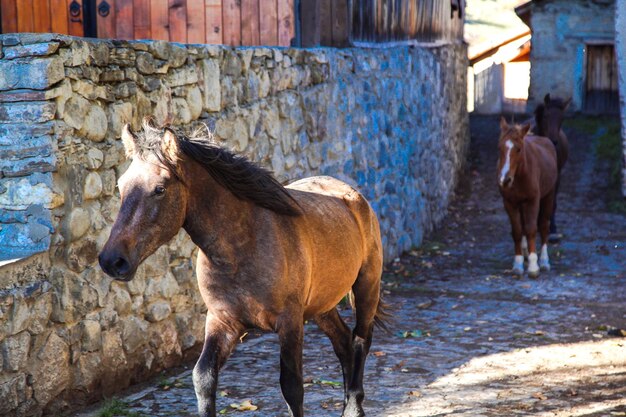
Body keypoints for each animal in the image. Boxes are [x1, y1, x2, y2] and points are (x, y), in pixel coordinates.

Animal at [99, 120, 386, 416]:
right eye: (120, 185)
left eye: (159, 189)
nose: (112, 260)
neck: (241, 246)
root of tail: (353, 196)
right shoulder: (222, 320)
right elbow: (203, 378)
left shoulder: (290, 323)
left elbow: (292, 387)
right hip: (321, 305)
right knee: (343, 342)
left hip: (367, 286)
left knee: (361, 340)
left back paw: (353, 407)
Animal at [498, 117, 556, 276]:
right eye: (499, 148)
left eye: (518, 149)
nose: (505, 180)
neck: (519, 176)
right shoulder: (510, 202)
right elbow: (517, 230)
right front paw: (518, 263)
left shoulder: (532, 201)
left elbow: (531, 228)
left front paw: (533, 265)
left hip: (548, 197)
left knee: (544, 226)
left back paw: (544, 261)